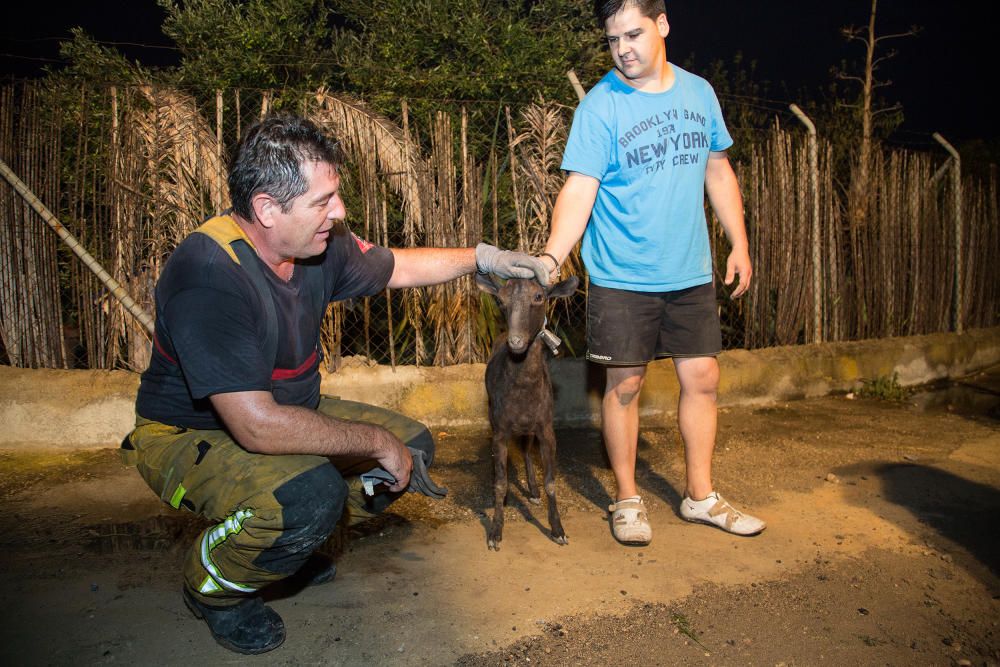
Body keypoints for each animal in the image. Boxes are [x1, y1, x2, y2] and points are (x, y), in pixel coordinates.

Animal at [476, 274, 580, 552]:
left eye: (539, 297)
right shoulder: (500, 430)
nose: (516, 342)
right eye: (500, 300)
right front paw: (495, 532)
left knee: (524, 449)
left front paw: (558, 530)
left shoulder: (545, 428)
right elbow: (501, 483)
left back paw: (532, 491)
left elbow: (551, 482)